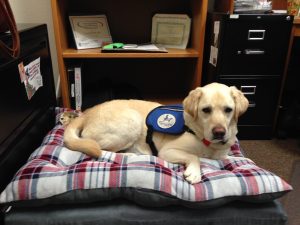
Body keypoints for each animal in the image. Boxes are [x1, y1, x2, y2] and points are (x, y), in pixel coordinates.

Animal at [63, 82, 248, 183]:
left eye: (228, 110)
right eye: (206, 110)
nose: (219, 132)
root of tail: (86, 114)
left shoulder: (222, 155)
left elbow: (233, 158)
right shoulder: (168, 151)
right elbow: (194, 157)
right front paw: (194, 172)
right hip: (131, 121)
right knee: (103, 150)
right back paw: (129, 155)